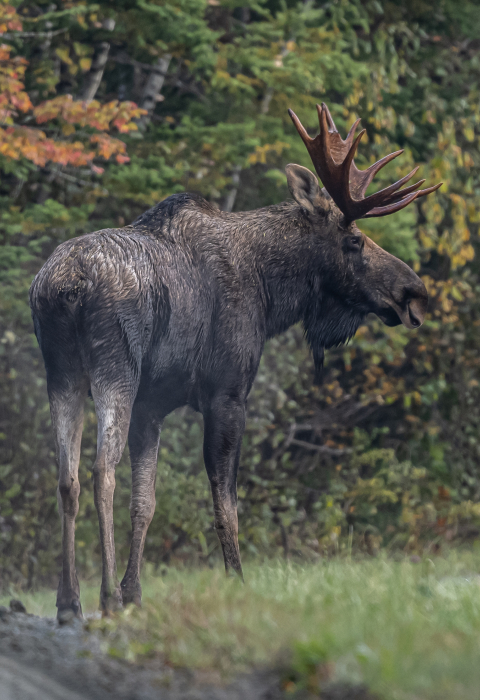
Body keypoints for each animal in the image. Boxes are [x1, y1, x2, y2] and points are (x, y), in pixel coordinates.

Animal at [29, 104, 442, 616]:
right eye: (355, 241)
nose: (415, 293)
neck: (270, 293)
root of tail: (64, 285)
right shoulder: (227, 394)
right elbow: (226, 506)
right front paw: (236, 580)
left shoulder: (152, 405)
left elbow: (145, 502)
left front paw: (136, 592)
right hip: (114, 370)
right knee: (101, 471)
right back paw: (103, 596)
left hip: (61, 371)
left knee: (67, 478)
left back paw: (69, 600)